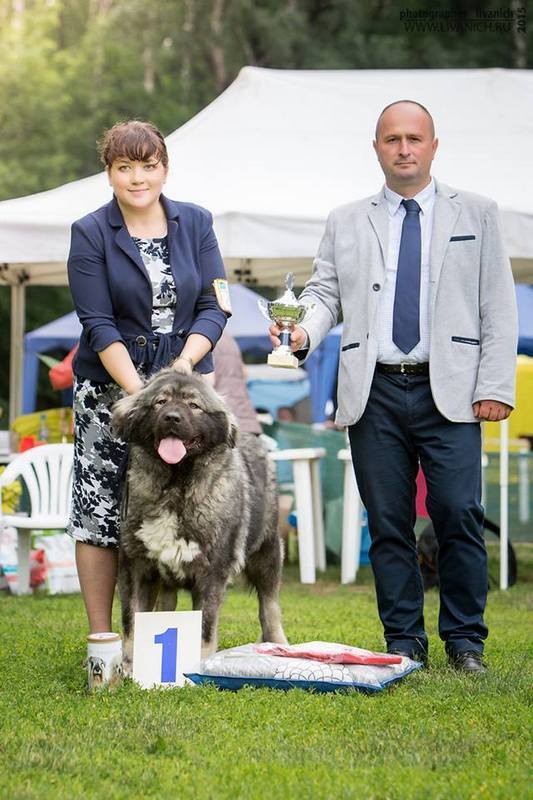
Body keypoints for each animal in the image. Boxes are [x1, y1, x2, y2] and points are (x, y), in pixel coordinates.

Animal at [111, 368, 286, 668]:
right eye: (160, 402)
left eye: (194, 405)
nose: (172, 417)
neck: (175, 486)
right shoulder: (136, 567)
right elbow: (132, 621)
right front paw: (132, 666)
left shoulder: (211, 573)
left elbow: (204, 628)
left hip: (266, 554)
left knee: (270, 606)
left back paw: (279, 645)